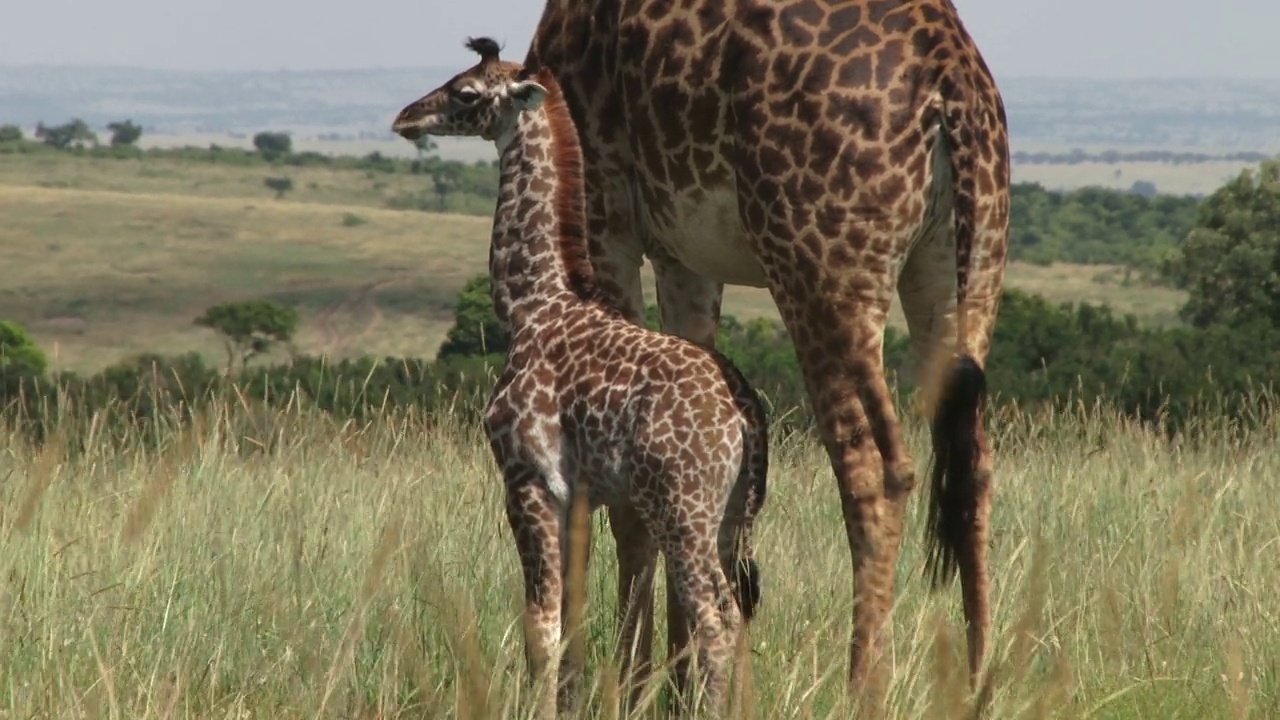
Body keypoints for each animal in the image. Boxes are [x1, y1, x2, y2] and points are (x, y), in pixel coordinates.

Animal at [389, 37, 768, 712]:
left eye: (466, 92)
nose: (407, 117)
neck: (530, 303)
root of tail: (749, 418)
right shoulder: (581, 498)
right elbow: (571, 625)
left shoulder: (528, 480)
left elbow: (540, 625)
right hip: (734, 516)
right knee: (740, 614)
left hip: (683, 508)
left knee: (714, 616)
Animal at [512, 0, 1008, 702]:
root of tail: (952, 79)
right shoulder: (682, 256)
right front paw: (680, 688)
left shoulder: (608, 216)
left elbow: (628, 496)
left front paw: (632, 687)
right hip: (965, 267)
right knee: (974, 469)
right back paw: (976, 683)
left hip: (820, 271)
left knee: (874, 466)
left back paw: (863, 689)